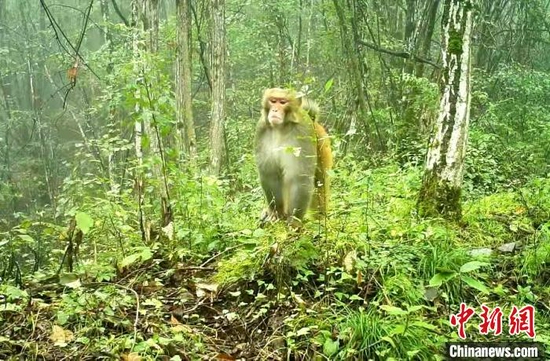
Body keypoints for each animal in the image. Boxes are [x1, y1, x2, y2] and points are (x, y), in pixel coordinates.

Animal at [253, 88, 332, 228]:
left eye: (282, 102)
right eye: (273, 101)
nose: (275, 110)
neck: (281, 128)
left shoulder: (303, 132)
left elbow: (299, 178)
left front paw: (294, 221)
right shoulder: (261, 129)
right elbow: (270, 174)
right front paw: (276, 213)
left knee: (319, 183)